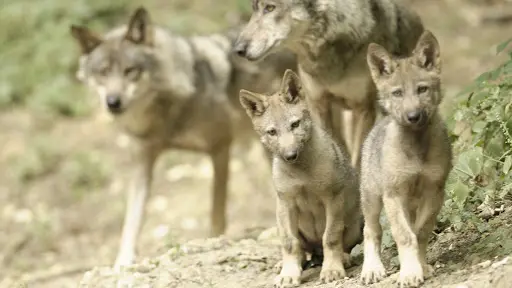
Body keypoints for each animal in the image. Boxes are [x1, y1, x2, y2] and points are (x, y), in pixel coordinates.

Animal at [70, 6, 298, 268]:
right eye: (103, 73)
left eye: (131, 71)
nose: (113, 102)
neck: (166, 115)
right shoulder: (142, 162)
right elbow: (132, 219)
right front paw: (123, 262)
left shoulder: (220, 147)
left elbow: (217, 212)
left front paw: (214, 242)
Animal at [232, 0, 424, 169]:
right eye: (254, 10)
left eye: (270, 8)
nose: (238, 49)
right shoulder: (318, 104)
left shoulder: (363, 108)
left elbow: (357, 158)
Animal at [240, 69, 364, 286]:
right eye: (272, 132)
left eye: (295, 124)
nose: (290, 155)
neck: (302, 172)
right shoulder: (286, 203)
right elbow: (290, 243)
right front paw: (289, 274)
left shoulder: (332, 199)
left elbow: (331, 237)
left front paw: (332, 269)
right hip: (283, 221)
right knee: (302, 252)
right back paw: (286, 265)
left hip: (355, 224)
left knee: (342, 245)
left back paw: (343, 258)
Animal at [360, 30, 452, 286]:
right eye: (397, 93)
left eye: (422, 89)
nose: (413, 116)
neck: (416, 149)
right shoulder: (393, 194)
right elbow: (404, 236)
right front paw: (410, 272)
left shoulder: (434, 191)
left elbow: (420, 233)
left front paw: (420, 268)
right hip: (372, 199)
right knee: (370, 231)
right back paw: (372, 269)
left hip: (410, 202)